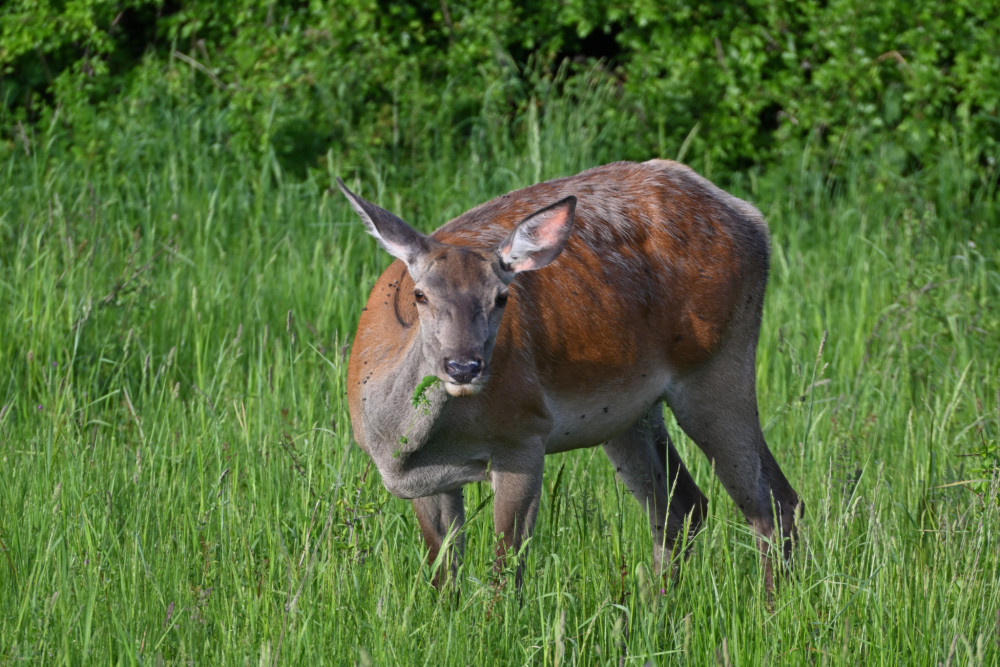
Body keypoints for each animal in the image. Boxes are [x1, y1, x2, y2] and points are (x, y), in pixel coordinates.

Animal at [340, 159, 800, 592]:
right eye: (421, 295)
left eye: (501, 297)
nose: (463, 366)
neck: (399, 445)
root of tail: (750, 216)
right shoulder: (429, 483)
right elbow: (443, 576)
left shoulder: (524, 435)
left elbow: (506, 570)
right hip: (629, 412)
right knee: (681, 506)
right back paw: (656, 609)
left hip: (718, 364)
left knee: (774, 500)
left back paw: (769, 606)